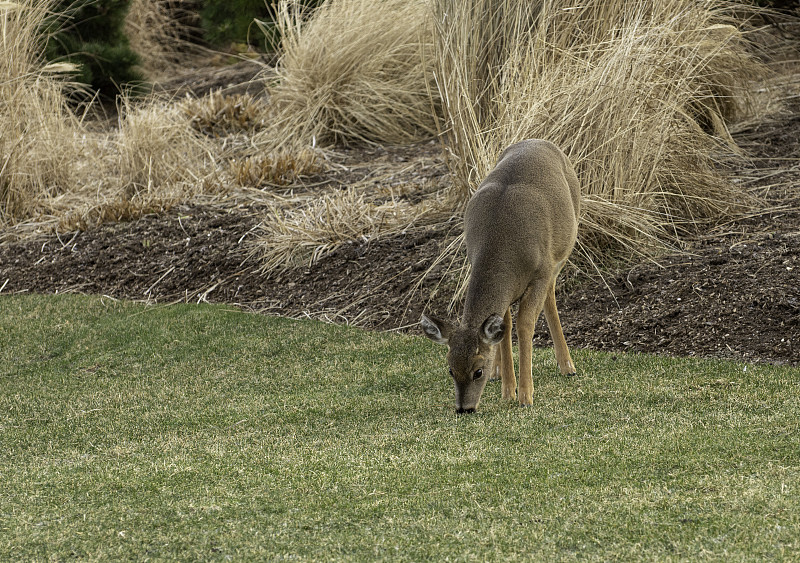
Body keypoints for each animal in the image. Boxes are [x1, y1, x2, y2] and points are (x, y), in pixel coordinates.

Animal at [422, 140, 580, 414]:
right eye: (451, 370)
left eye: (477, 371)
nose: (464, 408)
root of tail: (540, 142)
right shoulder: (504, 288)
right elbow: (504, 328)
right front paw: (508, 390)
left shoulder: (541, 272)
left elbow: (525, 323)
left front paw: (525, 395)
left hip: (564, 247)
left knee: (551, 296)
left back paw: (567, 366)